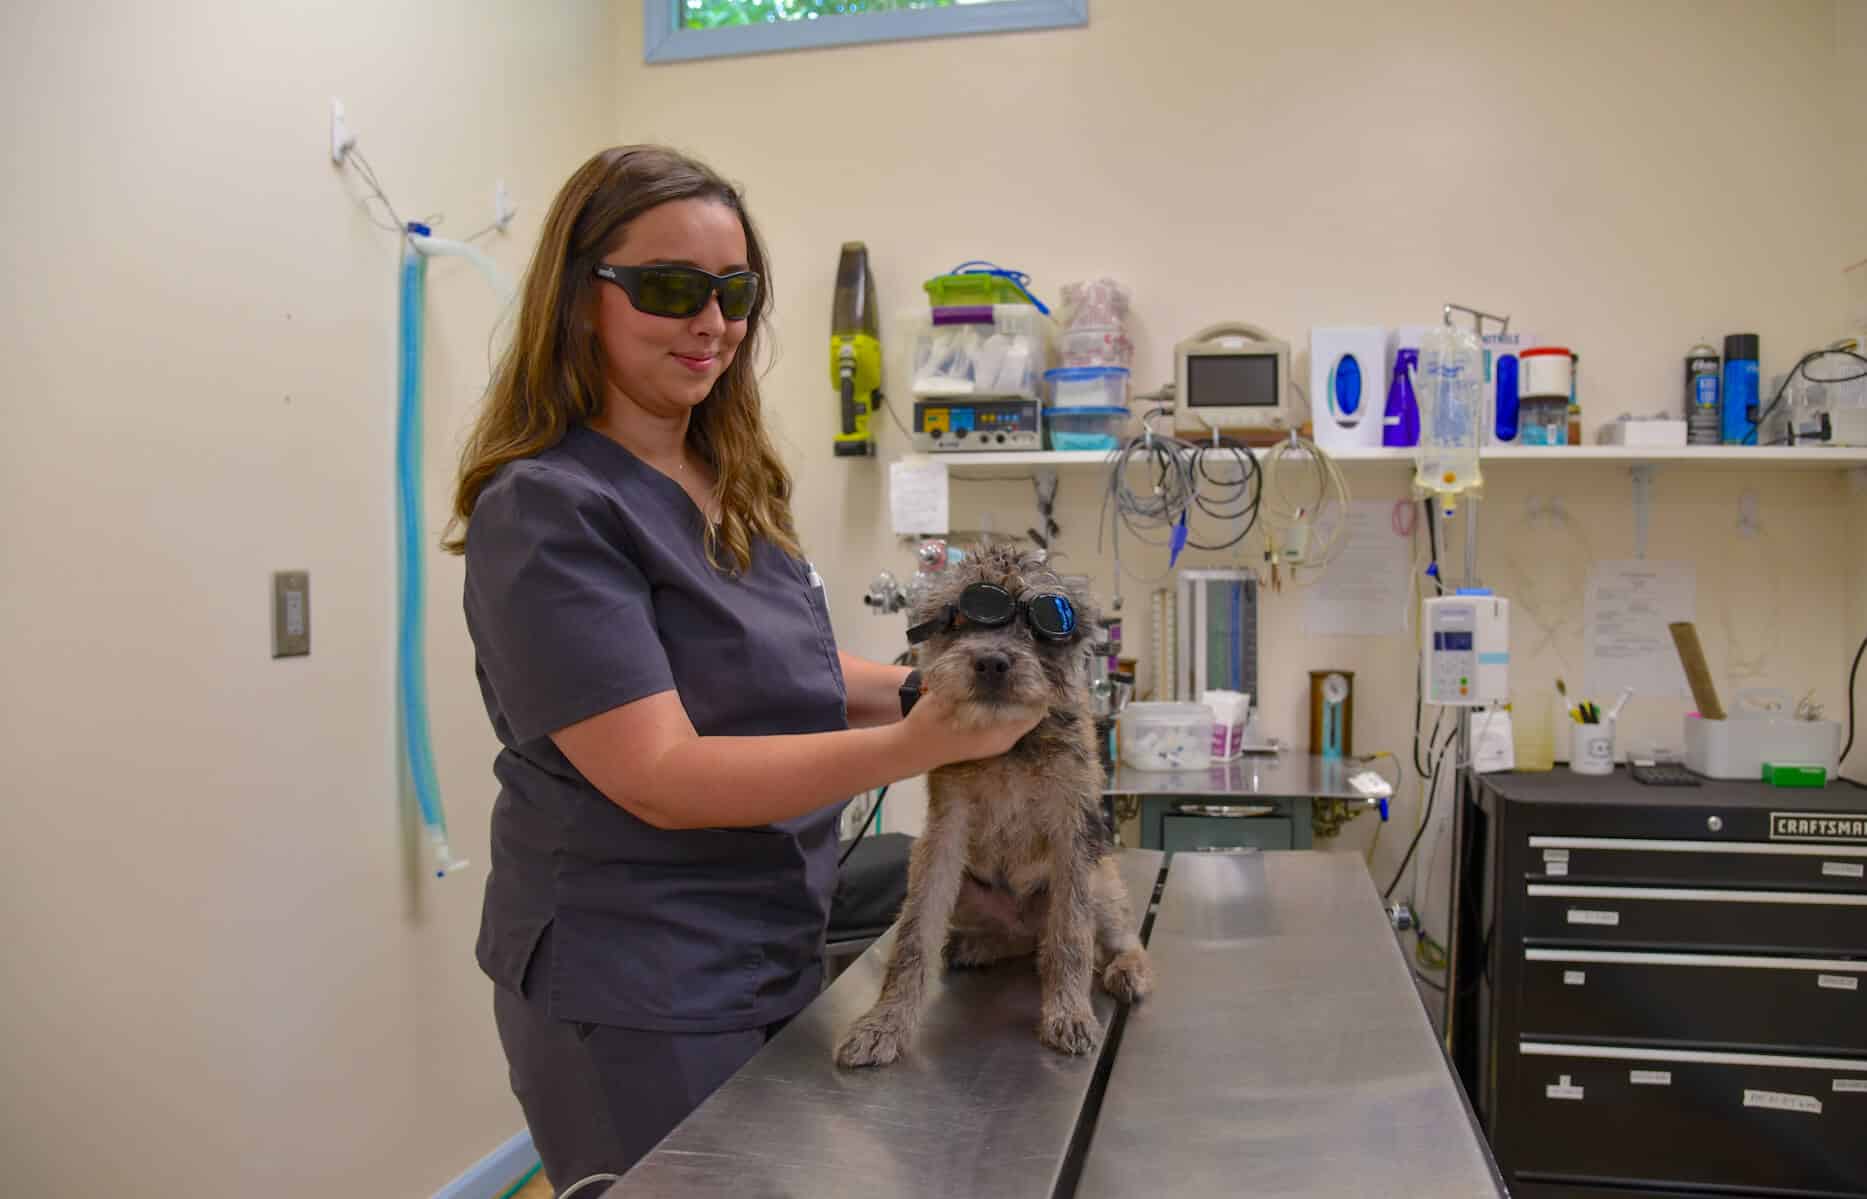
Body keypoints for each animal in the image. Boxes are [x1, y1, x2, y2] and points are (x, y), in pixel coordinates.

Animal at [836, 541, 1150, 1060]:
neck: (1011, 748)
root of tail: (1024, 924)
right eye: (960, 617)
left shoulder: (1073, 836)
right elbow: (914, 936)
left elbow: (1072, 935)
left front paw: (1068, 1012)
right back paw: (977, 945)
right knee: (1009, 939)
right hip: (963, 890)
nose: (992, 663)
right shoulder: (943, 837)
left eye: (1045, 620)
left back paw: (1126, 969)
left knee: (1113, 936)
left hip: (1101, 879)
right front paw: (885, 1022)